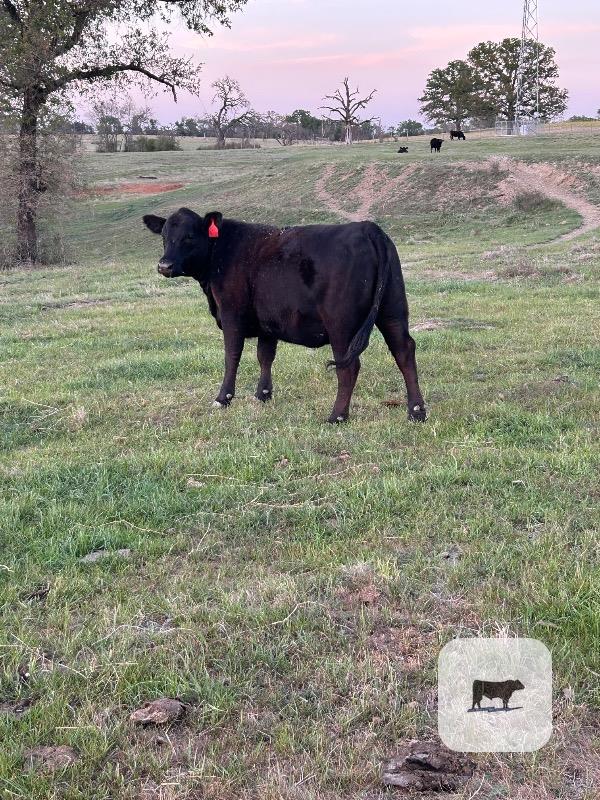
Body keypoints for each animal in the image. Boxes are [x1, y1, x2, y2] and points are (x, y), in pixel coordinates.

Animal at [143, 208, 427, 424]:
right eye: (165, 236)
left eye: (189, 236)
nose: (164, 265)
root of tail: (368, 228)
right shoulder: (268, 322)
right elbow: (265, 356)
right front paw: (263, 394)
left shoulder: (232, 314)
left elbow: (231, 357)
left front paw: (223, 398)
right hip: (393, 310)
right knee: (404, 351)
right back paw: (416, 412)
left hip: (341, 324)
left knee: (349, 366)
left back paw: (336, 416)